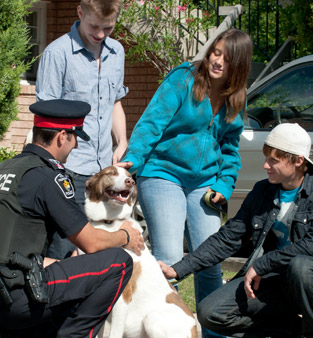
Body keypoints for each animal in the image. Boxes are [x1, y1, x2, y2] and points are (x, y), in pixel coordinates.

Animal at [82, 166, 195, 338]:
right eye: (111, 173)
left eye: (129, 175)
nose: (130, 181)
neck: (108, 223)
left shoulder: (122, 299)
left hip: (152, 318)